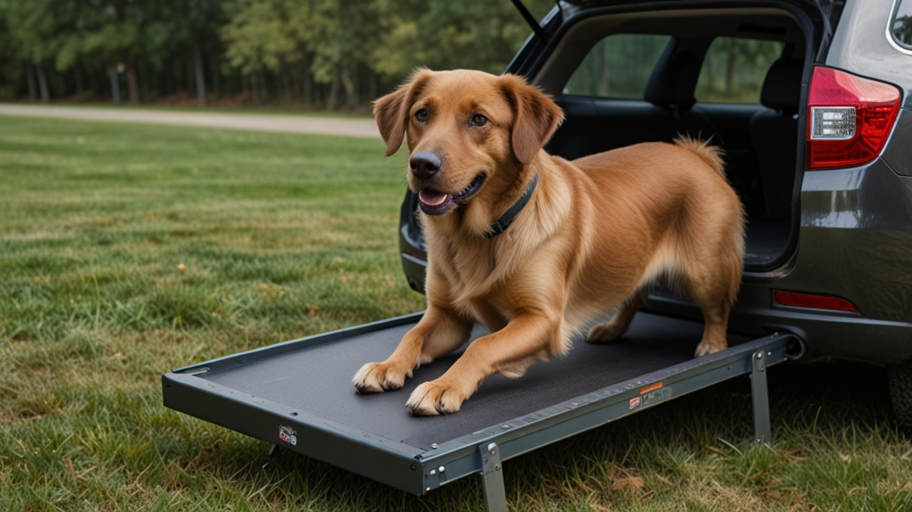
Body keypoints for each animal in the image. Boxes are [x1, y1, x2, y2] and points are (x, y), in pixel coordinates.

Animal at [352, 68, 744, 416]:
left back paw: (712, 345)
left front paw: (442, 386)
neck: (480, 233)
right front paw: (387, 365)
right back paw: (611, 329)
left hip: (705, 272)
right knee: (636, 292)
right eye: (421, 114)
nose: (422, 164)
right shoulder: (447, 314)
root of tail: (694, 153)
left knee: (718, 309)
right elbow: (413, 335)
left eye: (479, 119)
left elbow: (481, 345)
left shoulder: (543, 319)